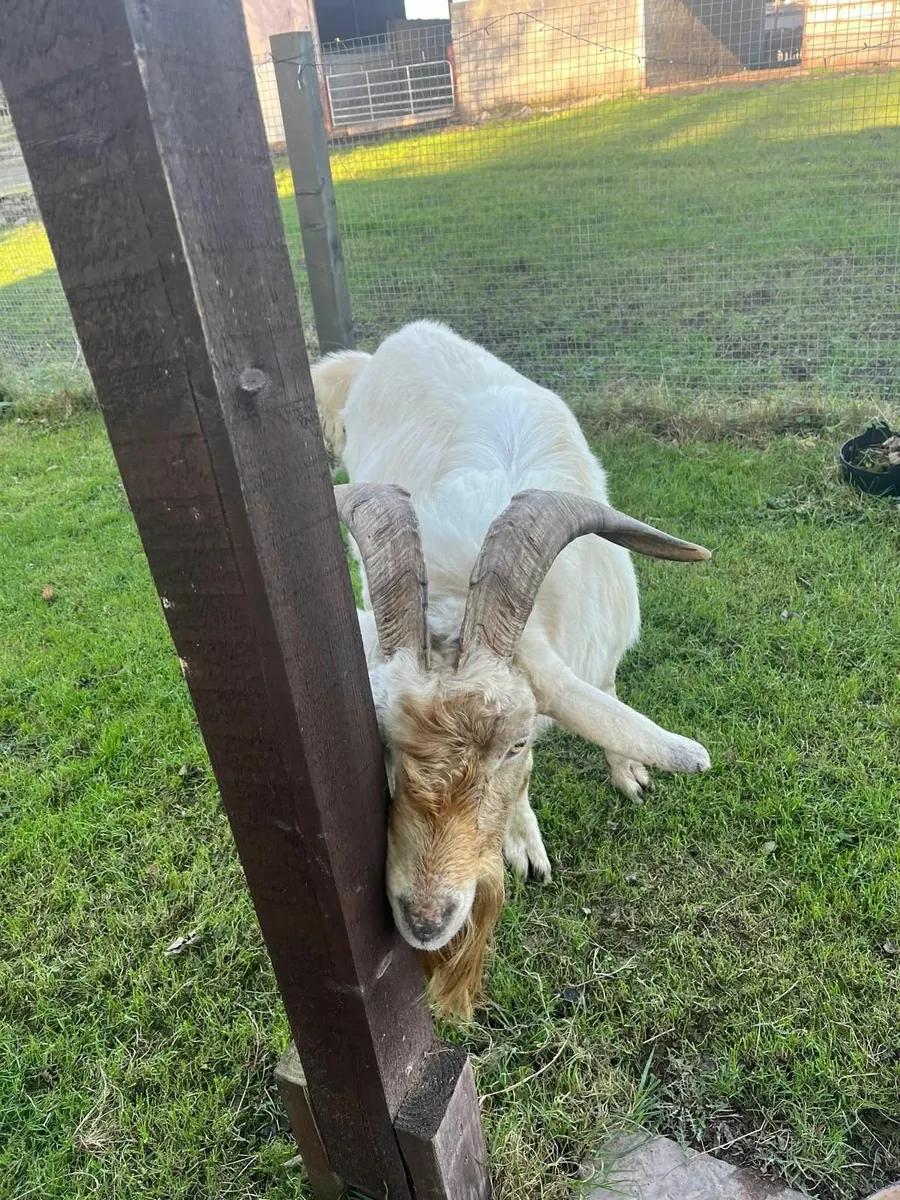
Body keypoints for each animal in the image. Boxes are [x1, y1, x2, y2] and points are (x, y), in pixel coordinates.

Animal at [312, 321, 711, 1016]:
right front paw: (525, 847)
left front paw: (630, 773)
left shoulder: (599, 655)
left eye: (515, 744)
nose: (425, 921)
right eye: (382, 743)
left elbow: (603, 701)